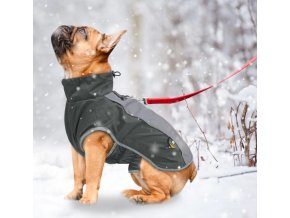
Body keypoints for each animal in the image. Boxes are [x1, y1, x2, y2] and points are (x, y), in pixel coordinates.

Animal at [51, 25, 197, 204]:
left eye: (83, 32)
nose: (64, 26)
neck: (86, 93)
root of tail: (192, 169)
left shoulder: (94, 147)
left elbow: (91, 175)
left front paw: (88, 200)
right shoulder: (77, 149)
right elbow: (78, 174)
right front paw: (74, 194)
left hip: (146, 164)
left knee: (164, 195)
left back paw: (142, 199)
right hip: (135, 169)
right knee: (148, 189)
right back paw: (133, 193)